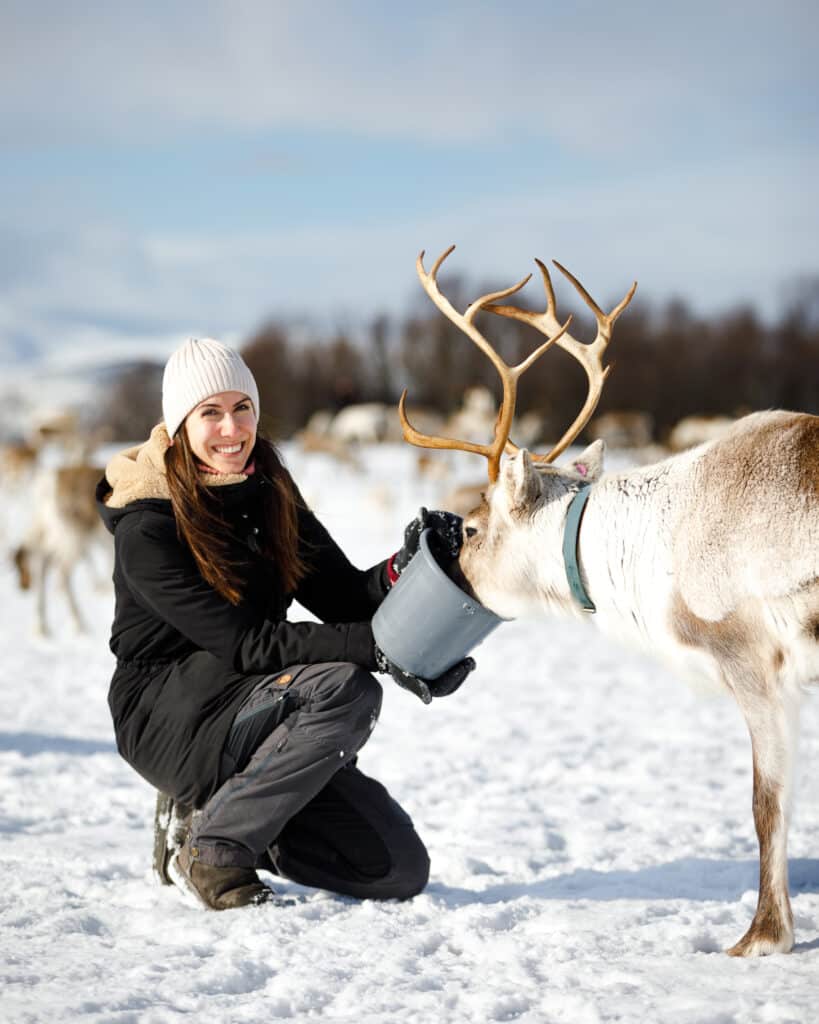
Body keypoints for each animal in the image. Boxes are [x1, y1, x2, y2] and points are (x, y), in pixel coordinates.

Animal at [398, 245, 819, 957]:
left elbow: (768, 805)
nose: (451, 576)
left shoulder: (755, 665)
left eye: (475, 529)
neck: (659, 548)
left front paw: (763, 936)